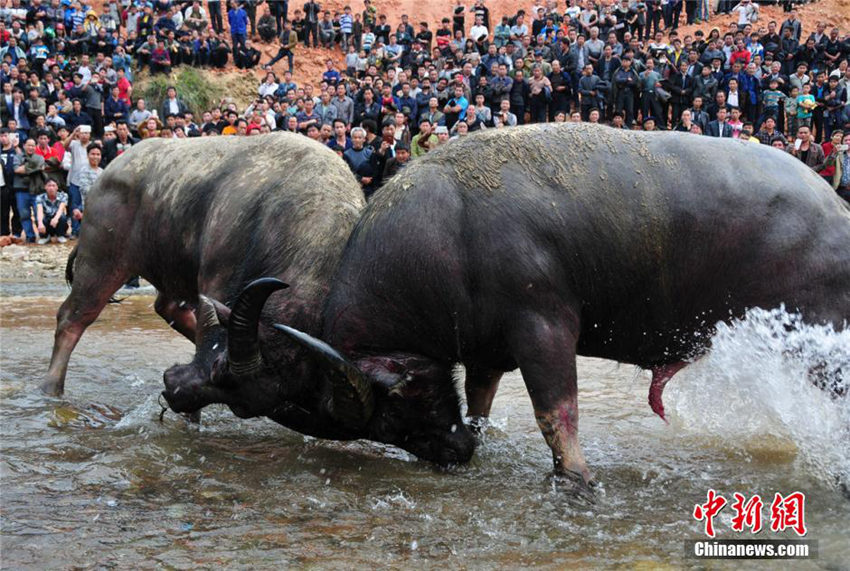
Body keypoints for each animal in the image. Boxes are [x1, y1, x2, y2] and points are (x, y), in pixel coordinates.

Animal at [242, 124, 844, 488]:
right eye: (384, 428)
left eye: (394, 407)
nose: (451, 453)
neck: (451, 233)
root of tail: (834, 207)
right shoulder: (485, 352)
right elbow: (481, 404)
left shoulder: (544, 328)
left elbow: (557, 414)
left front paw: (574, 479)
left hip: (817, 343)